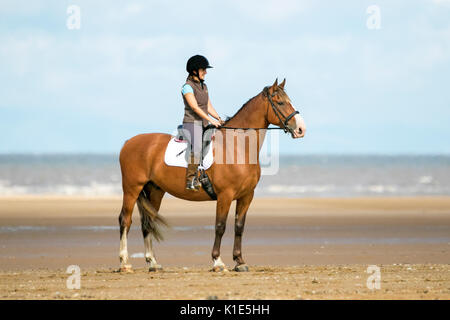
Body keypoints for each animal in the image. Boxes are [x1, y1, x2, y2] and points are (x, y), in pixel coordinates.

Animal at [118, 78, 306, 272]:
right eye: (280, 102)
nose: (301, 129)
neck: (237, 146)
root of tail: (128, 142)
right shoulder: (225, 195)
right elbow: (220, 226)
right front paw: (218, 261)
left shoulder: (246, 196)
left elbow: (239, 226)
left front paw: (240, 262)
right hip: (132, 188)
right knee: (125, 220)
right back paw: (125, 263)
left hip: (155, 190)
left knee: (147, 222)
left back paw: (153, 263)